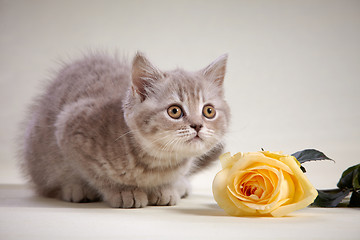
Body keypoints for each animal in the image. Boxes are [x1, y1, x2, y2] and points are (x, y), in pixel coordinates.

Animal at [21, 51, 231, 207]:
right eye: (174, 111)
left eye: (209, 111)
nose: (197, 125)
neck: (158, 163)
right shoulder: (69, 129)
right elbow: (96, 174)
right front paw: (123, 191)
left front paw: (165, 188)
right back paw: (75, 189)